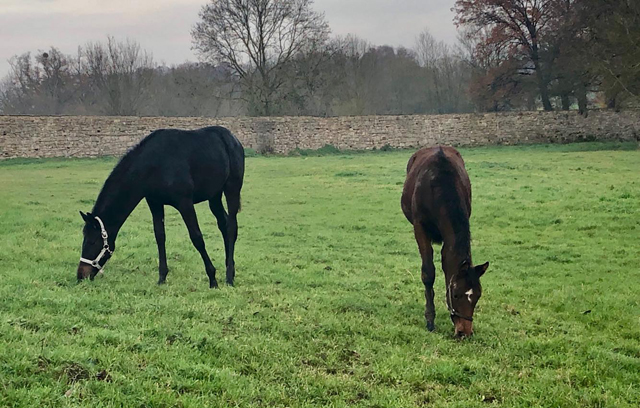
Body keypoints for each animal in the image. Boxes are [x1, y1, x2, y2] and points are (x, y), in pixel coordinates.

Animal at [75, 126, 245, 288]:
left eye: (92, 242)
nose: (81, 275)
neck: (154, 164)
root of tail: (233, 139)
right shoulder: (155, 203)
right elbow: (160, 236)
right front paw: (162, 278)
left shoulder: (185, 203)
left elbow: (197, 237)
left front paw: (212, 279)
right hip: (214, 196)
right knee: (223, 224)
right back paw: (231, 269)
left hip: (232, 189)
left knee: (231, 227)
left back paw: (229, 277)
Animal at [400, 147, 490, 338]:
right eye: (456, 295)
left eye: (478, 296)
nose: (464, 332)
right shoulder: (420, 228)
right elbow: (428, 273)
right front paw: (430, 320)